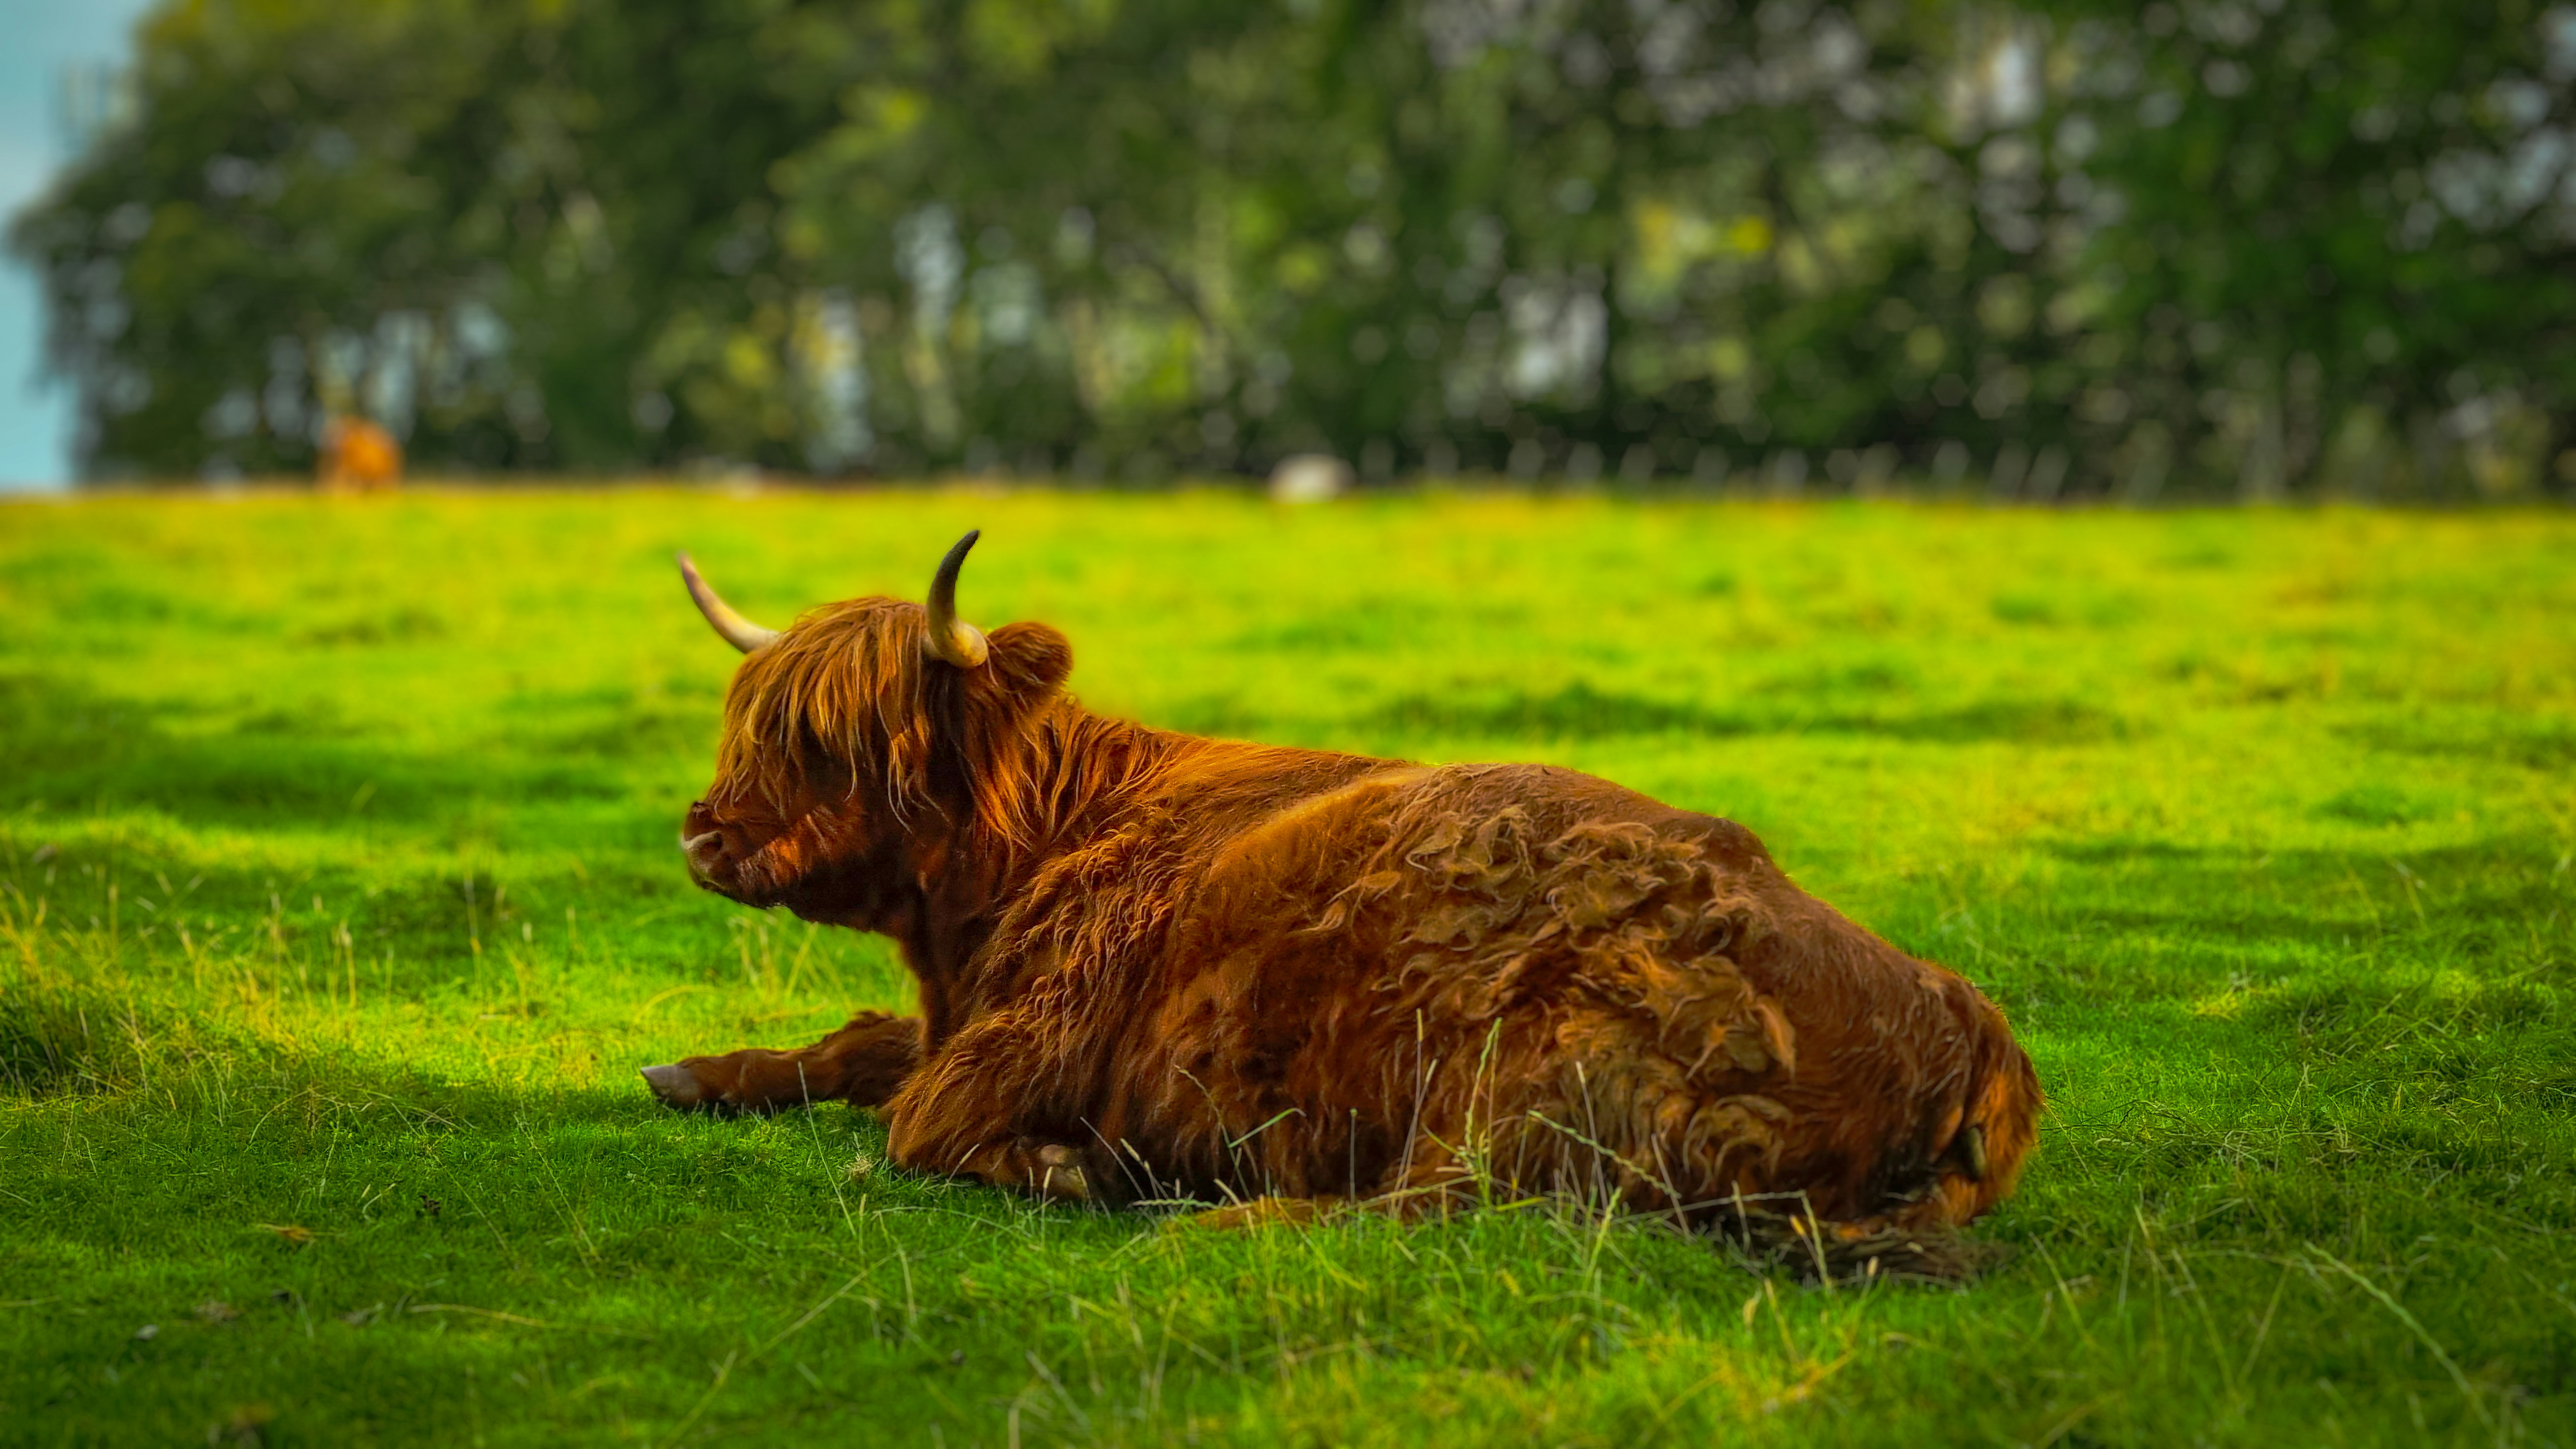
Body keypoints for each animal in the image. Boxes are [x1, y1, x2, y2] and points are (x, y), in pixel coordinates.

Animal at [642, 532, 2041, 1260]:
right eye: (756, 718)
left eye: (839, 739)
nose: (705, 834)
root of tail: (1966, 1020)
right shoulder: (955, 1015)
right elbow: (861, 1045)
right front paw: (697, 1072)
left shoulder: (1028, 1032)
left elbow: (915, 1120)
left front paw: (1066, 1166)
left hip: (1527, 1071)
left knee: (1446, 1208)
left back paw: (1192, 1217)